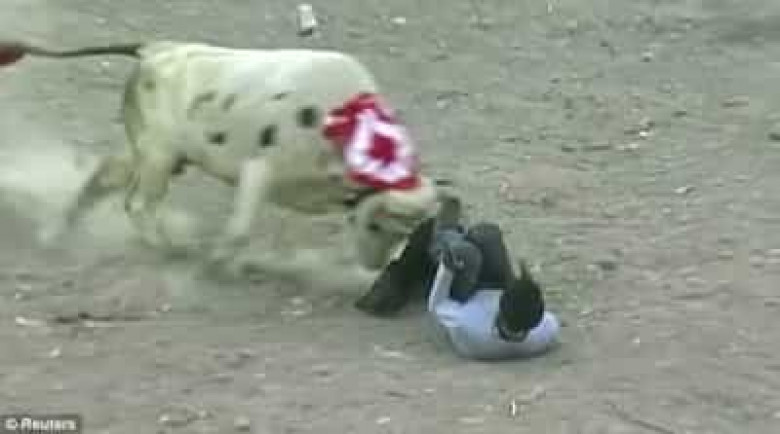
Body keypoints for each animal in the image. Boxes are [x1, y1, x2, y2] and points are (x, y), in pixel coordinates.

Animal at [0, 40, 443, 273]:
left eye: (405, 234)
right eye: (377, 226)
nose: (376, 267)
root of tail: (155, 48)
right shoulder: (259, 169)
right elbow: (240, 229)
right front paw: (215, 265)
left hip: (145, 150)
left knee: (103, 178)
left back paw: (56, 233)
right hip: (158, 156)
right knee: (137, 203)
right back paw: (170, 249)